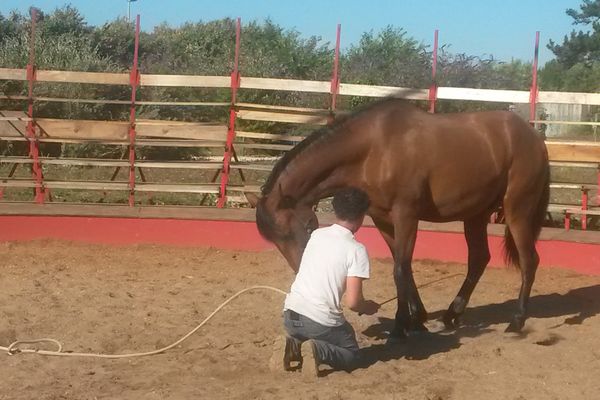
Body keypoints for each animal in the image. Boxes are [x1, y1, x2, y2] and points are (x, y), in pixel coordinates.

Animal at [246, 98, 552, 340]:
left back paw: (517, 320)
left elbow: (400, 270)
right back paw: (453, 313)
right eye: (276, 241)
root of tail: (533, 136)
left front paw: (401, 325)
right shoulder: (383, 219)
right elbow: (402, 266)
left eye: (309, 226)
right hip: (475, 214)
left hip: (517, 210)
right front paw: (417, 319)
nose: (301, 269)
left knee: (529, 261)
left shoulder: (406, 214)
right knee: (478, 259)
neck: (374, 149)